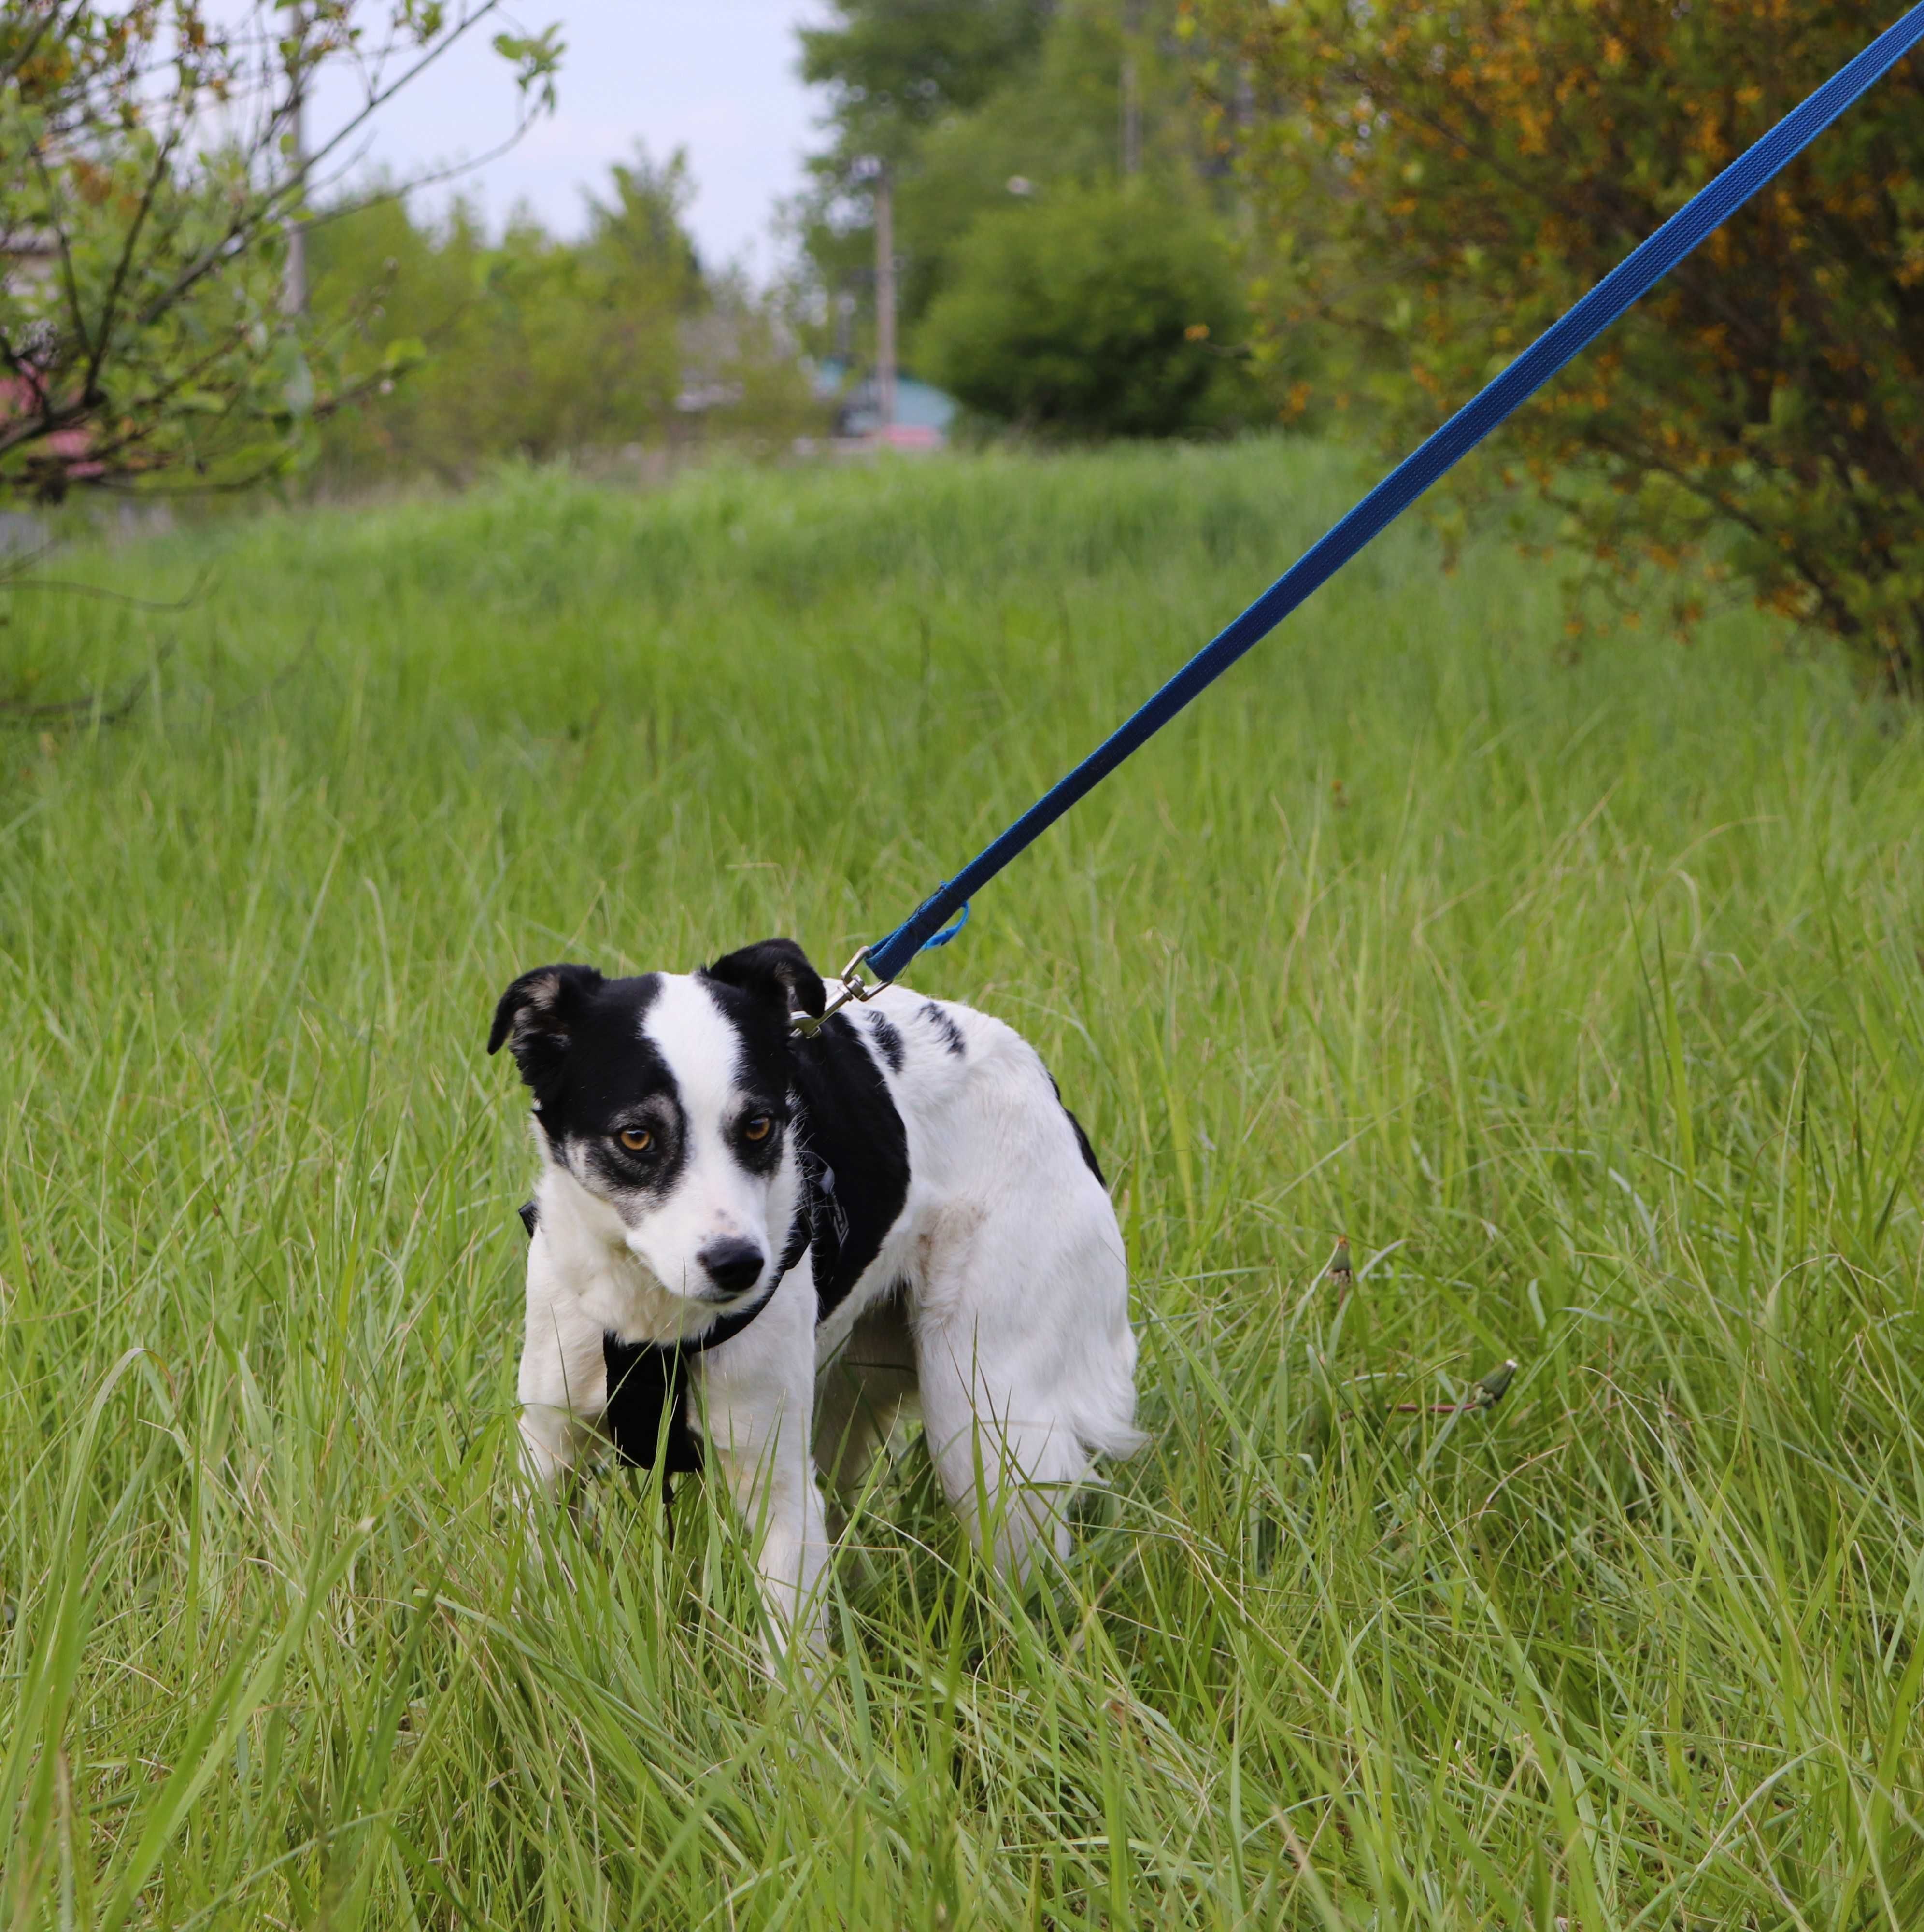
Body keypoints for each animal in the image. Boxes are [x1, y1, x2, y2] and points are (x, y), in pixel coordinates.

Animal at [488, 943, 1143, 1654]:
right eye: (636, 1137)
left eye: (757, 1126)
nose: (740, 1266)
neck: (654, 1316)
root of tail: (1042, 1083)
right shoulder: (549, 1446)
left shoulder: (778, 1487)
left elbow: (793, 1657)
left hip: (984, 1424)